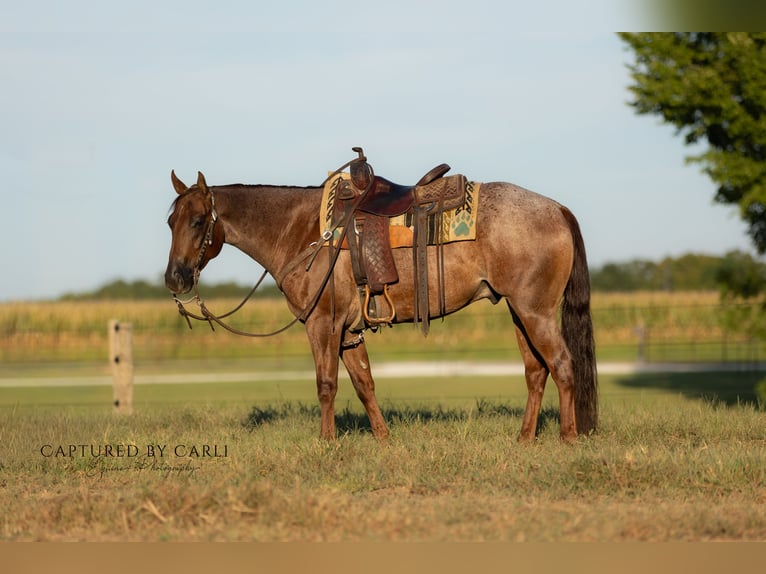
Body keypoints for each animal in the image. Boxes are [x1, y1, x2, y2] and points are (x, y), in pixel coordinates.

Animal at [164, 162, 598, 442]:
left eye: (199, 220)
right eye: (171, 222)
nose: (175, 278)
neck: (301, 231)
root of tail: (558, 209)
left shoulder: (322, 324)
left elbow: (326, 384)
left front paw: (327, 444)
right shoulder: (349, 331)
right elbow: (364, 383)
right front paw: (384, 439)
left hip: (536, 313)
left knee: (562, 365)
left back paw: (568, 438)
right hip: (519, 311)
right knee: (536, 372)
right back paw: (524, 438)